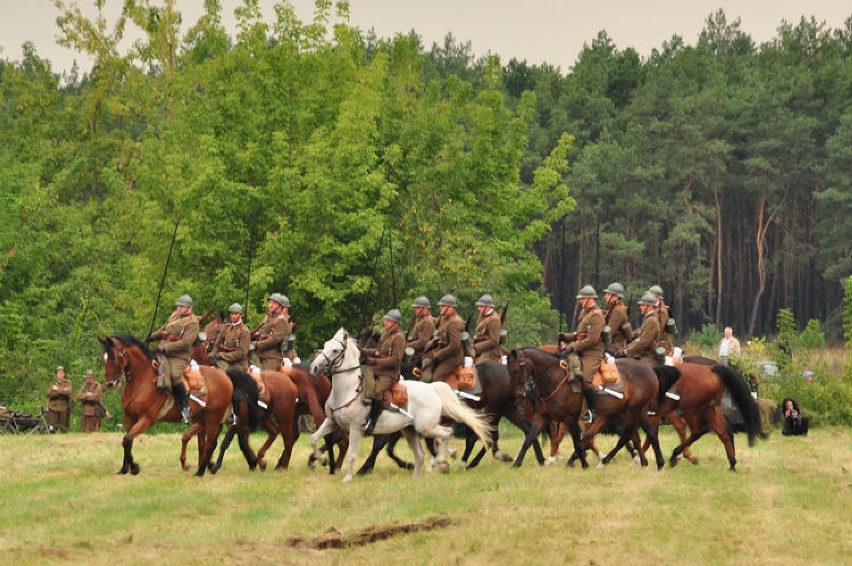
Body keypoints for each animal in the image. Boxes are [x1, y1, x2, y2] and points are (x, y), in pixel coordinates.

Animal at [98, 336, 255, 478]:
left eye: (114, 357)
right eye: (104, 358)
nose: (110, 383)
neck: (141, 381)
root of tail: (226, 376)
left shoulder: (147, 419)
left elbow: (127, 439)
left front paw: (135, 467)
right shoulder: (129, 418)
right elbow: (127, 441)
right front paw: (125, 468)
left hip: (214, 419)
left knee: (212, 443)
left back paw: (201, 471)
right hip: (205, 419)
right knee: (210, 442)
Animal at [308, 328, 492, 484]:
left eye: (335, 350)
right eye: (325, 345)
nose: (314, 367)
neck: (347, 390)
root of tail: (432, 388)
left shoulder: (355, 428)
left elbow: (352, 454)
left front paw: (347, 478)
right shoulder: (331, 422)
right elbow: (313, 438)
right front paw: (322, 460)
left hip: (425, 427)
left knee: (446, 434)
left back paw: (441, 462)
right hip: (410, 431)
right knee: (420, 454)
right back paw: (416, 476)